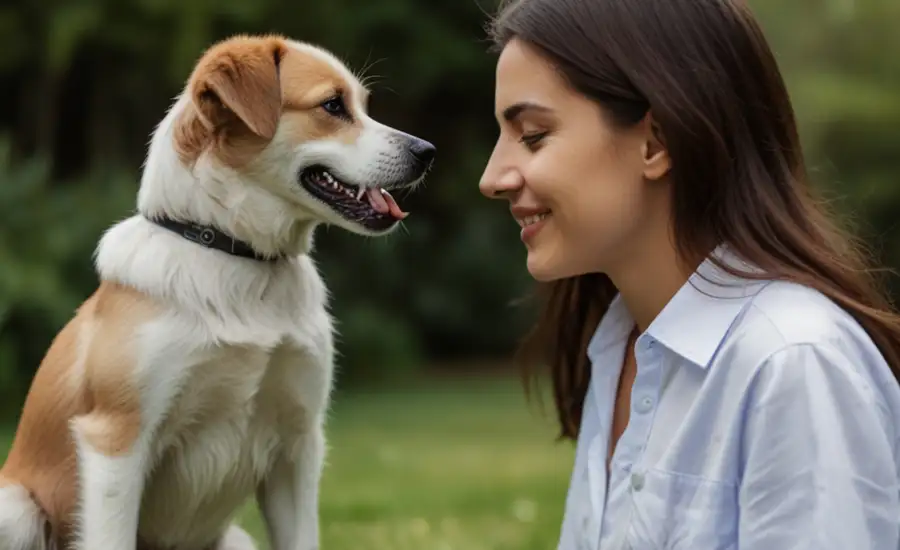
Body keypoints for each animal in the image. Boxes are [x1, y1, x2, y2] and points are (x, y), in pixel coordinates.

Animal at [0, 33, 436, 550]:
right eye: (332, 105)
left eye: (363, 105)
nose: (427, 151)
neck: (239, 258)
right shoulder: (117, 442)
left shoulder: (298, 444)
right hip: (16, 510)